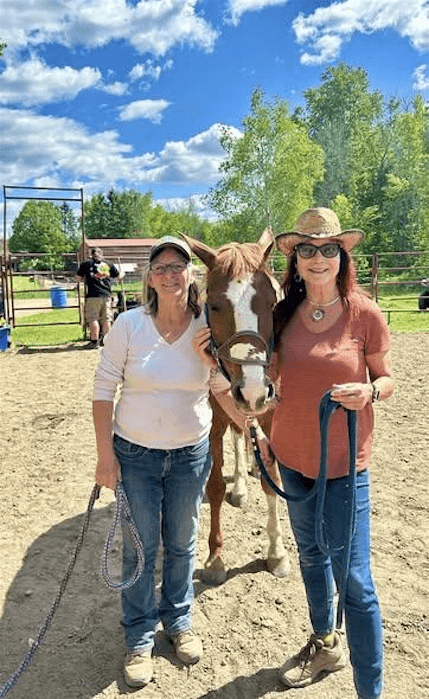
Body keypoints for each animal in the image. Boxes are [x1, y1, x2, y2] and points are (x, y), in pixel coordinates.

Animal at [182, 230, 290, 585]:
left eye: (272, 303)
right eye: (214, 305)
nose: (254, 391)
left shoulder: (269, 418)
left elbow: (272, 480)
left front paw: (277, 553)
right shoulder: (214, 423)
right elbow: (215, 485)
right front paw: (216, 558)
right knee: (238, 440)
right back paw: (241, 485)